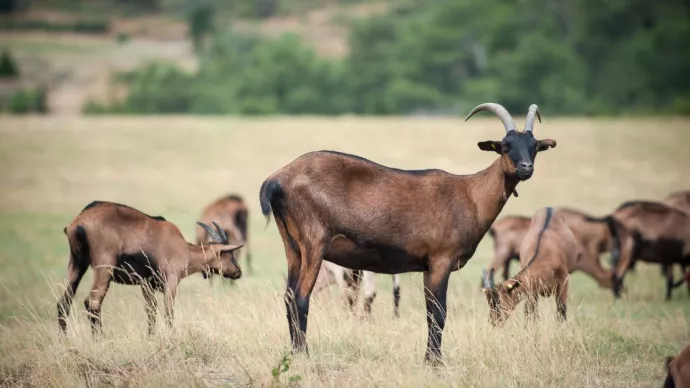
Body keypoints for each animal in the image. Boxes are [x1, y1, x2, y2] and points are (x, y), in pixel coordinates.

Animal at [57, 202, 243, 334]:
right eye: (228, 254)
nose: (238, 272)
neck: (183, 248)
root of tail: (79, 222)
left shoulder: (146, 285)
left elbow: (151, 311)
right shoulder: (171, 281)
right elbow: (168, 312)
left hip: (77, 264)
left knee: (63, 302)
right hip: (104, 268)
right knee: (92, 302)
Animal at [258, 102, 552, 364]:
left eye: (535, 146)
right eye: (505, 145)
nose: (526, 167)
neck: (470, 195)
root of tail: (276, 180)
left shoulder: (427, 266)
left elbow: (430, 313)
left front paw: (430, 358)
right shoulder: (441, 260)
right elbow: (439, 312)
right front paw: (435, 363)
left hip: (293, 247)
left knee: (288, 297)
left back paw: (293, 353)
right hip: (314, 243)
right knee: (300, 297)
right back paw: (304, 356)